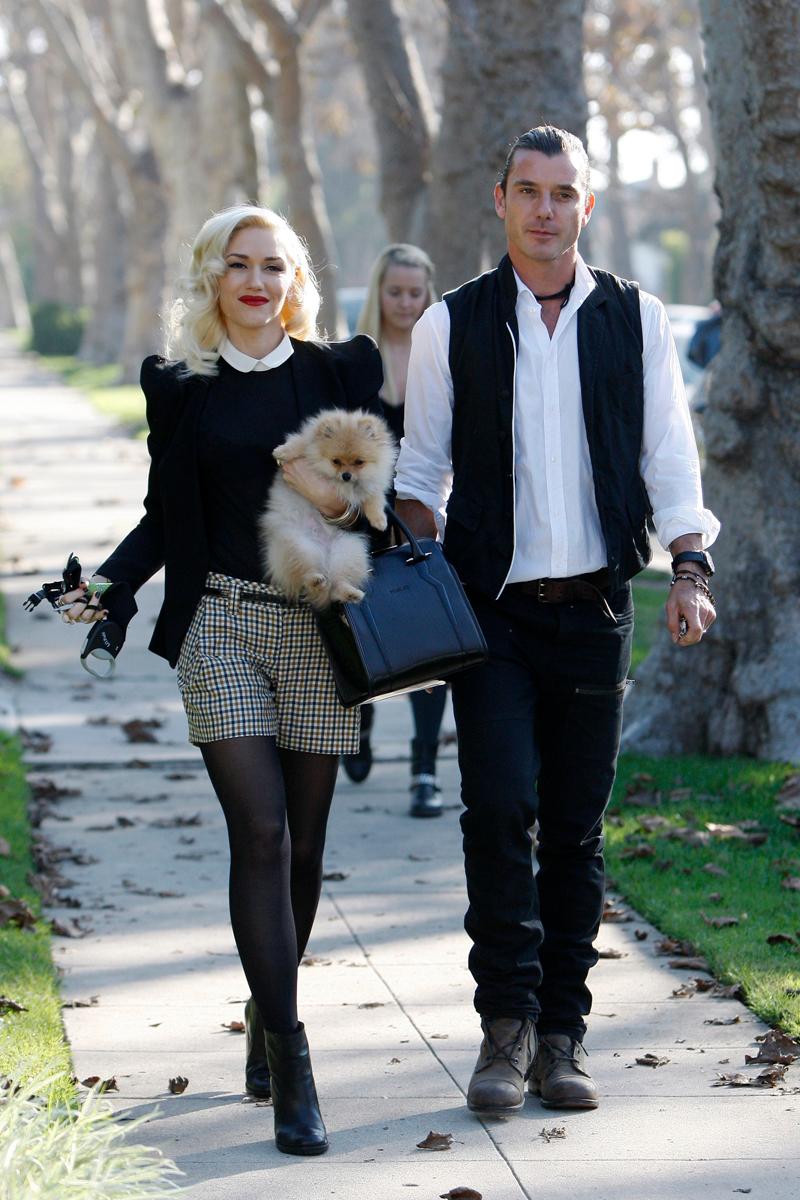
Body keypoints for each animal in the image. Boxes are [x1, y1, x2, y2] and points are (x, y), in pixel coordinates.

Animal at [261, 408, 395, 609]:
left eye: (359, 462)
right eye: (336, 461)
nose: (346, 475)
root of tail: (324, 560)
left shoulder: (372, 484)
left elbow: (374, 499)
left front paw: (379, 520)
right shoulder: (309, 443)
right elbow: (299, 444)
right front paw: (282, 451)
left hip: (348, 550)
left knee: (336, 585)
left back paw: (349, 592)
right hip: (296, 545)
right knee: (305, 575)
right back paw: (316, 580)